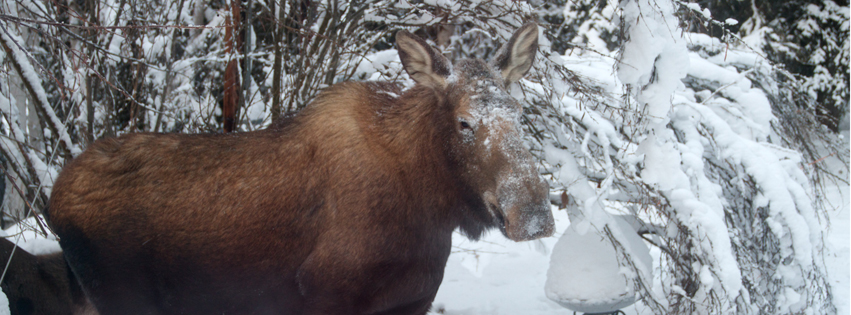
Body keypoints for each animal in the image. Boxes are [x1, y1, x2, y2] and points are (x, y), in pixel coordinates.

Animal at [46, 23, 556, 314]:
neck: (430, 207)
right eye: (464, 121)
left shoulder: (411, 301)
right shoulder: (327, 297)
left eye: (519, 113)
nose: (534, 215)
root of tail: (54, 199)